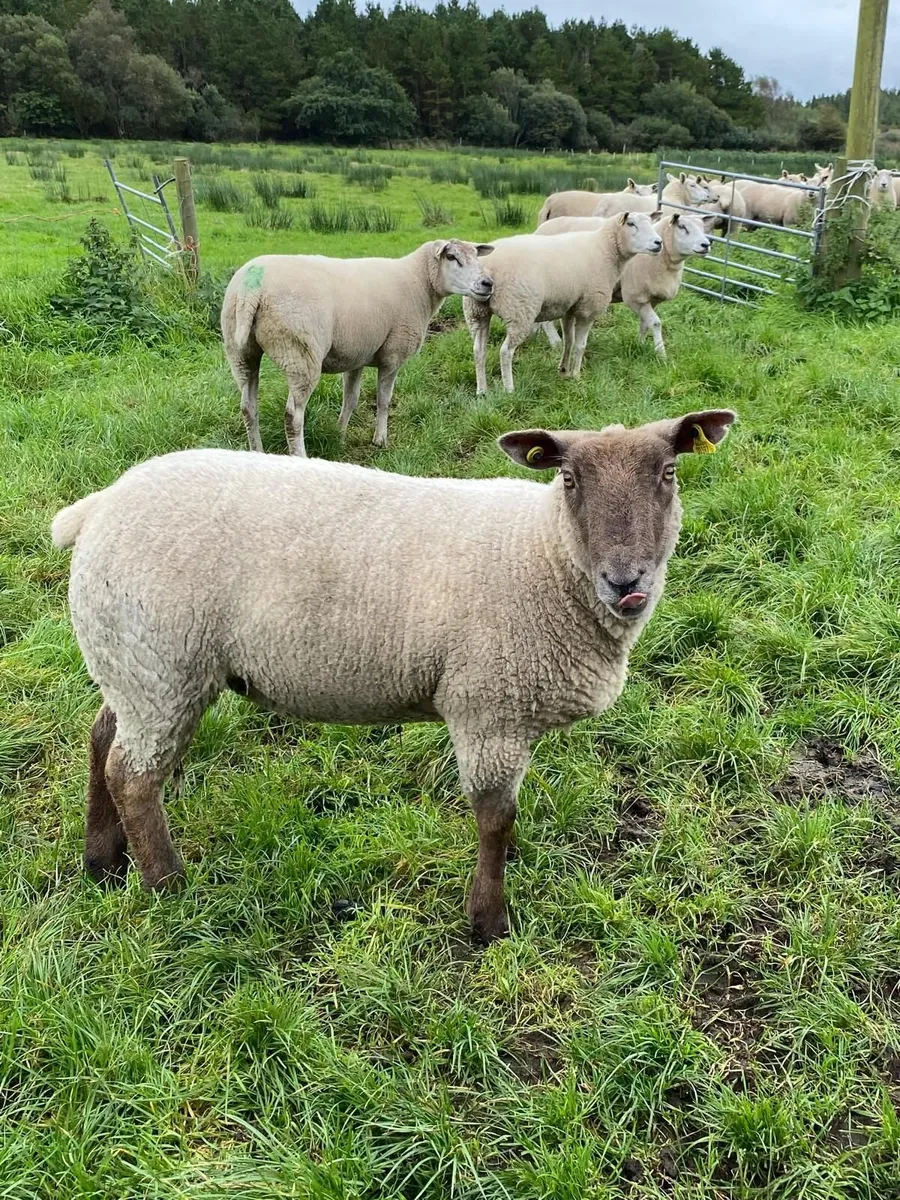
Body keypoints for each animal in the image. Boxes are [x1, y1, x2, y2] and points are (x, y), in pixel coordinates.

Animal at [51, 408, 736, 942]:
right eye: (568, 478)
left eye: (669, 474)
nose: (626, 582)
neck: (543, 552)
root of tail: (99, 507)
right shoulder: (488, 710)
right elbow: (494, 817)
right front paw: (488, 920)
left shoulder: (511, 714)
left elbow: (509, 815)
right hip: (163, 666)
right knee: (134, 777)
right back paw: (169, 884)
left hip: (131, 662)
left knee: (102, 739)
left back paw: (102, 861)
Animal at [221, 239, 494, 458]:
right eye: (452, 257)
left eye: (476, 255)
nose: (488, 283)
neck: (419, 283)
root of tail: (251, 288)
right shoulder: (392, 355)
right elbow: (384, 400)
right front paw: (380, 439)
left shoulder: (356, 356)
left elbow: (350, 399)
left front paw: (339, 434)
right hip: (300, 353)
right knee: (292, 416)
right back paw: (300, 456)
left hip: (240, 351)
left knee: (248, 408)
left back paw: (257, 451)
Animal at [462, 212, 663, 394]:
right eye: (631, 224)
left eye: (650, 222)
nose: (658, 242)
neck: (605, 249)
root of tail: (490, 265)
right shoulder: (588, 308)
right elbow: (580, 345)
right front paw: (576, 375)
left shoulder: (569, 308)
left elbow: (569, 341)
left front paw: (564, 370)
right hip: (519, 310)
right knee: (505, 352)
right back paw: (509, 390)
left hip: (476, 312)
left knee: (478, 351)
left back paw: (481, 391)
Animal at [535, 212, 713, 359]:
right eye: (682, 227)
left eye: (702, 227)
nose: (706, 245)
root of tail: (541, 227)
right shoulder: (635, 297)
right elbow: (655, 323)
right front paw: (661, 354)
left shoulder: (650, 299)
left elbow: (644, 324)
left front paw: (640, 345)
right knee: (547, 321)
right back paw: (556, 342)